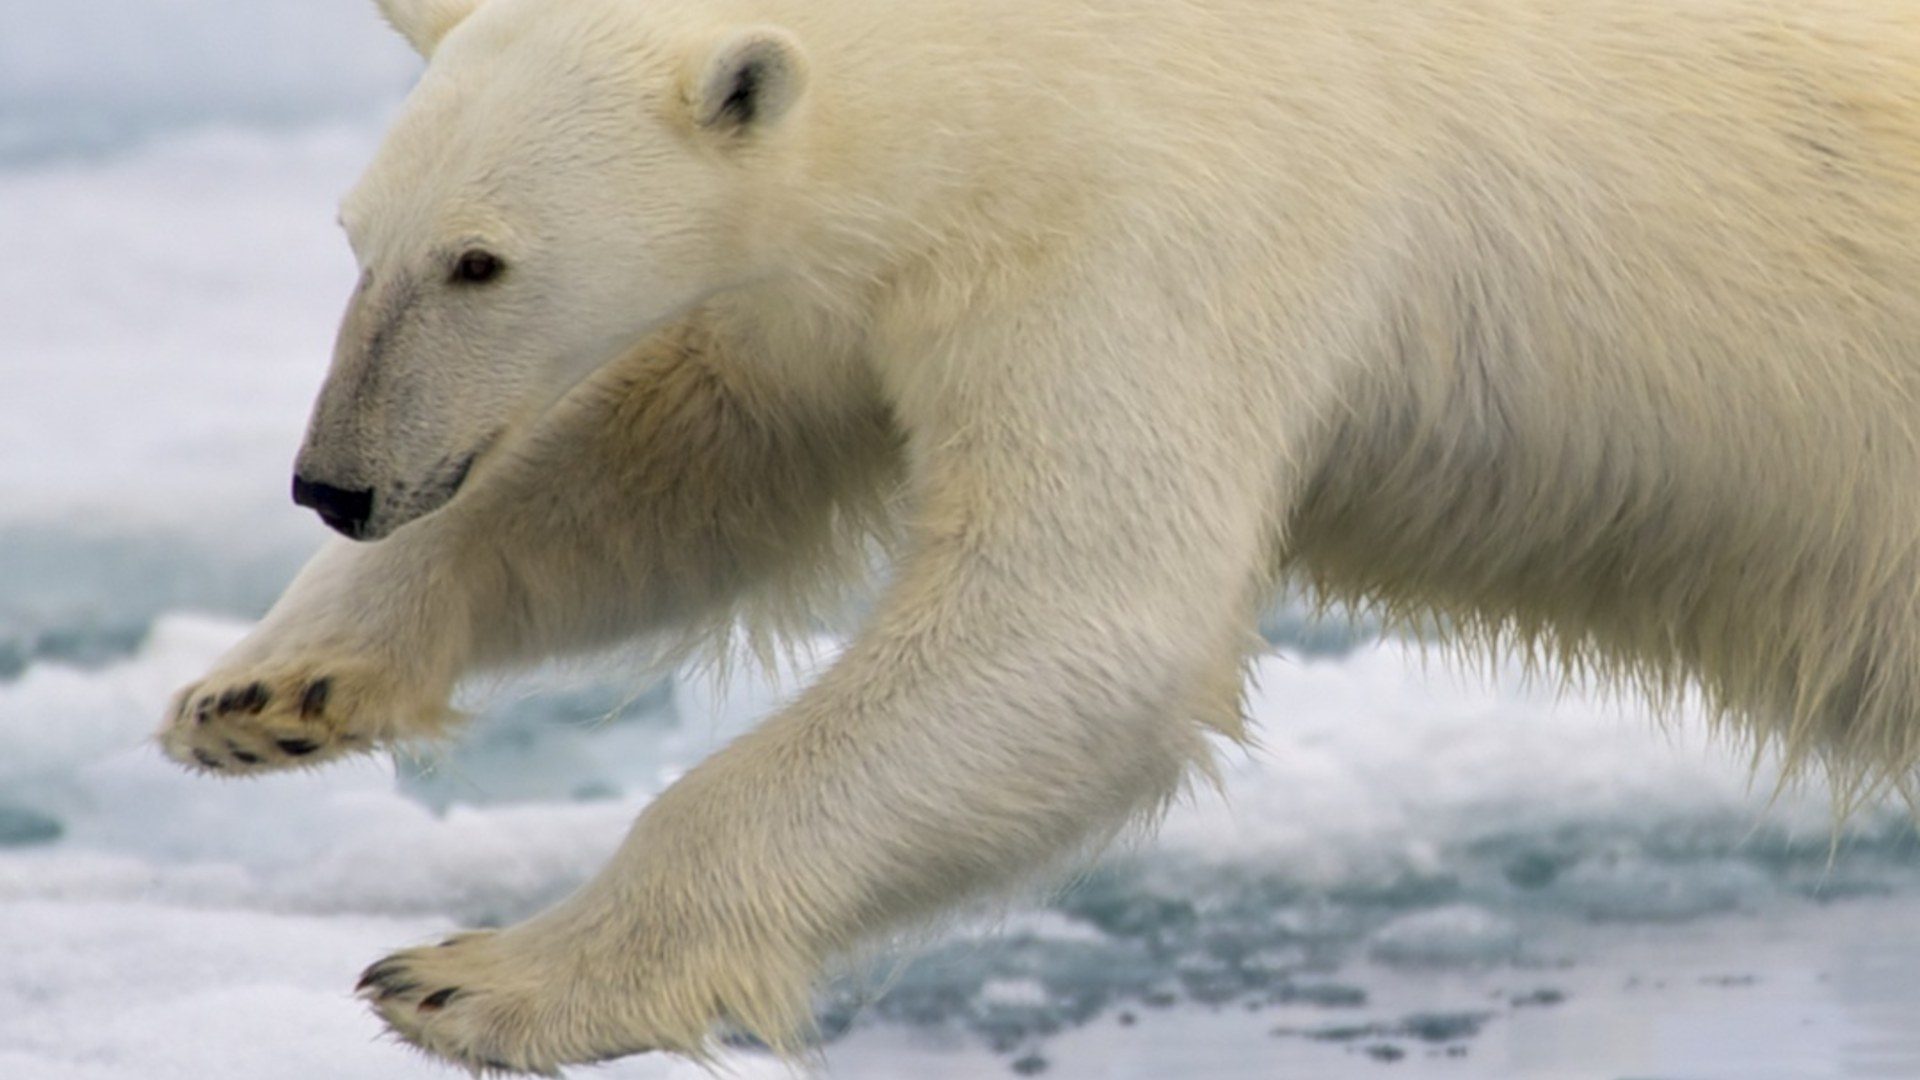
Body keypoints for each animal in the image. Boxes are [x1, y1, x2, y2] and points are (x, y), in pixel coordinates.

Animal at [158, 0, 1920, 1072]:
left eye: (482, 260)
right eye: (355, 238)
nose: (336, 482)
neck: (1025, 50)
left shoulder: (1159, 220)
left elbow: (1075, 618)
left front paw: (475, 978)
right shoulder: (854, 279)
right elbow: (670, 461)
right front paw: (263, 694)